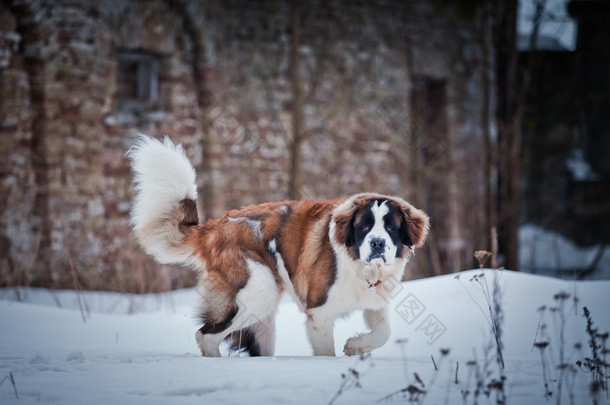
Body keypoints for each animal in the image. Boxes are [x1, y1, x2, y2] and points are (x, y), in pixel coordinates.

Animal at [127, 135, 428, 356]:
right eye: (364, 227)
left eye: (390, 228)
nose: (377, 243)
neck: (362, 270)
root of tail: (215, 226)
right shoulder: (319, 314)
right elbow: (327, 351)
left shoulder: (375, 303)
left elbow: (384, 332)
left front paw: (356, 346)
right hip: (258, 291)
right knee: (206, 335)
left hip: (263, 318)